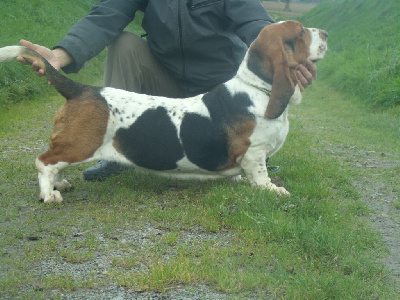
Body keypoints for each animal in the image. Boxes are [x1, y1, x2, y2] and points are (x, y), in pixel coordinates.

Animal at [0, 19, 328, 203]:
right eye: (301, 32)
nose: (325, 32)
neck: (258, 88)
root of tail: (80, 89)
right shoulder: (254, 153)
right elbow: (260, 176)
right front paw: (273, 190)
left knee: (55, 164)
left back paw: (60, 184)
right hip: (80, 144)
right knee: (44, 161)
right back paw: (49, 194)